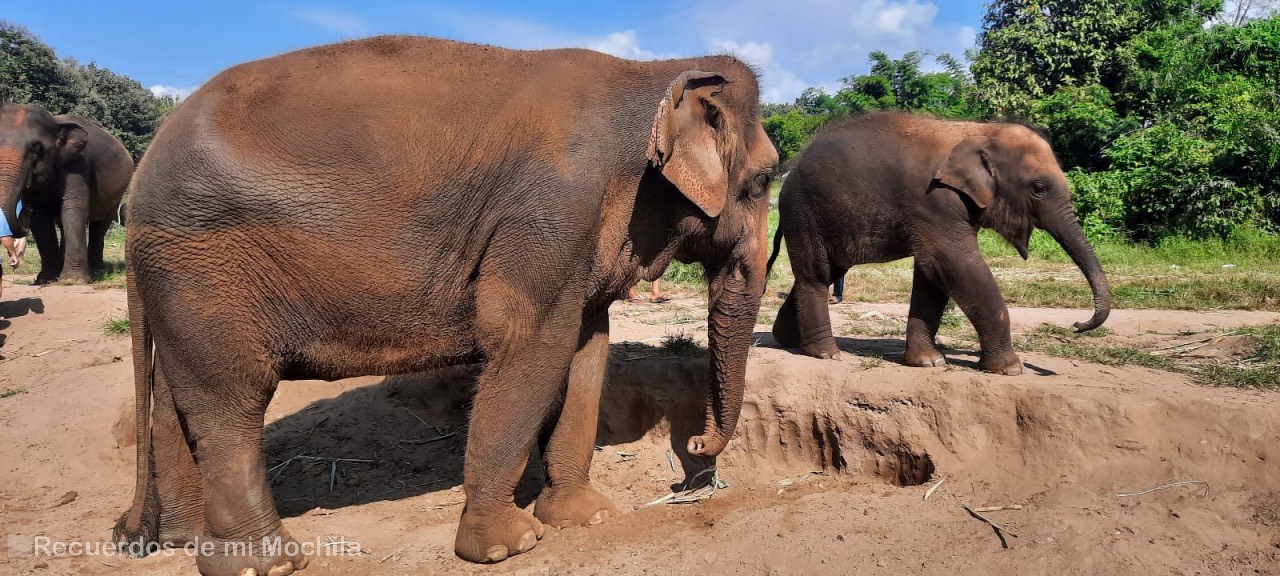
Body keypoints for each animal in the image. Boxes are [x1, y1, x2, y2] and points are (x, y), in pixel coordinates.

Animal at [0, 103, 133, 284]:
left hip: (116, 195)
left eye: (35, 149)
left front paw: (73, 281)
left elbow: (73, 209)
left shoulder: (78, 165)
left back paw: (97, 271)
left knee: (100, 225)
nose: (25, 208)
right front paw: (46, 279)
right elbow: (40, 218)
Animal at [113, 36, 778, 575]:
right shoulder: (551, 209)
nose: (696, 454)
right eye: (765, 180)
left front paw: (585, 518)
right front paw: (508, 546)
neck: (652, 73)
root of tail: (139, 175)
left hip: (178, 282)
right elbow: (529, 341)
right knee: (231, 399)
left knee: (178, 402)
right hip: (202, 266)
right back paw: (267, 564)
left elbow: (588, 350)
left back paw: (180, 542)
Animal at [768, 112, 1110, 374]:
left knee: (828, 271)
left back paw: (789, 341)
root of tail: (791, 170)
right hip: (804, 213)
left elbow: (932, 276)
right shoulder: (934, 204)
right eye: (1039, 188)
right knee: (816, 274)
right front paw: (1011, 369)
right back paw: (826, 353)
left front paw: (928, 363)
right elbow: (955, 266)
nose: (1077, 324)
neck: (978, 131)